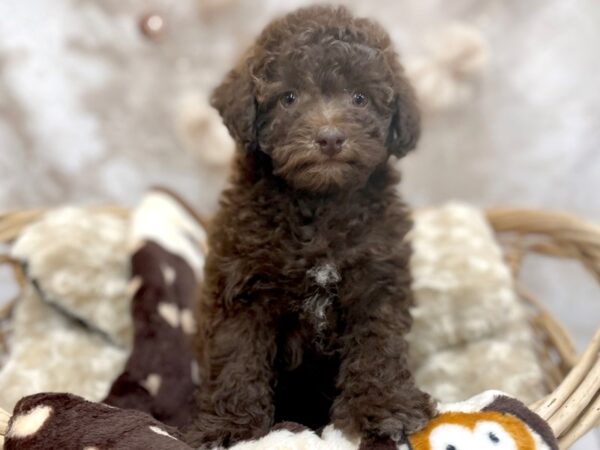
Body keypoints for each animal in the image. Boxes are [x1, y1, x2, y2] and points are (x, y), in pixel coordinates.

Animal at [190, 5, 434, 448]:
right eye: (288, 98)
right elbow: (236, 354)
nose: (331, 138)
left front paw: (384, 408)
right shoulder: (241, 286)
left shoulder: (376, 280)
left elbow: (378, 347)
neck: (318, 204)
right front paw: (230, 426)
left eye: (359, 98)